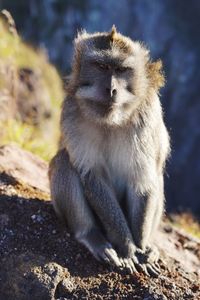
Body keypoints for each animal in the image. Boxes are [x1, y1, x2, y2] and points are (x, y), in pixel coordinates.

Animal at [48, 26, 169, 276]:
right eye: (101, 67)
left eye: (121, 70)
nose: (111, 89)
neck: (113, 120)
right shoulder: (72, 113)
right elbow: (92, 175)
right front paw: (128, 248)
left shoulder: (147, 117)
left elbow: (142, 181)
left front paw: (140, 247)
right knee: (65, 161)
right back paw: (92, 236)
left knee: (156, 177)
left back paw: (149, 247)